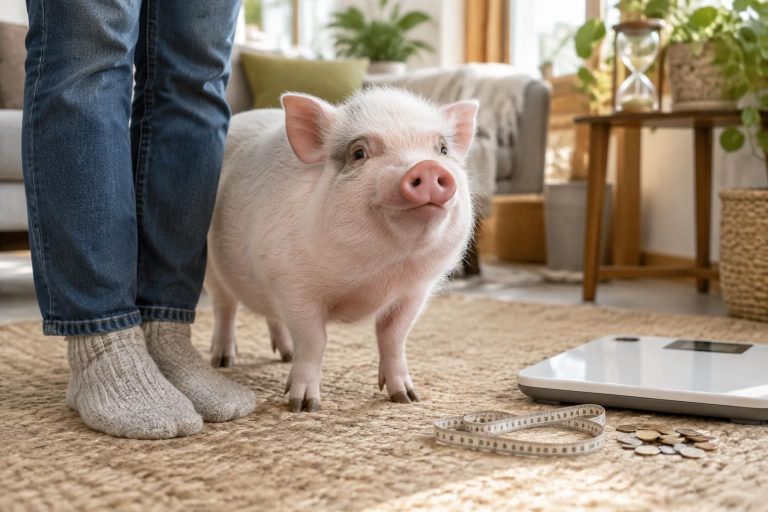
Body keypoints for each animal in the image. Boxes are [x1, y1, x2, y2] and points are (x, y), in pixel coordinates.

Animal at [205, 86, 477, 412]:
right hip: (210, 266)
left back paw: (285, 354)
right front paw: (303, 406)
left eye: (443, 149)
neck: (379, 272)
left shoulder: (415, 291)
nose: (427, 166)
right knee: (225, 308)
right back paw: (223, 361)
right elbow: (314, 340)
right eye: (359, 153)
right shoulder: (291, 283)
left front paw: (406, 398)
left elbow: (393, 336)